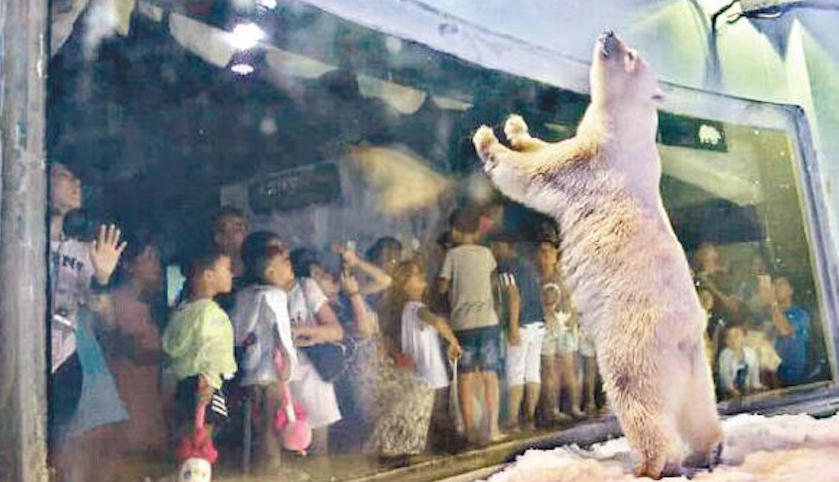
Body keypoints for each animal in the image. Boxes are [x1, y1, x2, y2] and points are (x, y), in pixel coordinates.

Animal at [472, 31, 722, 479]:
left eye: (631, 53)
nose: (608, 33)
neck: (629, 129)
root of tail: (685, 334)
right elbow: (544, 147)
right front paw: (517, 127)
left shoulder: (590, 164)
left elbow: (532, 175)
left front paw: (487, 139)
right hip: (696, 365)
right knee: (698, 406)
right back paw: (708, 450)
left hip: (635, 344)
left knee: (637, 399)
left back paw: (650, 464)